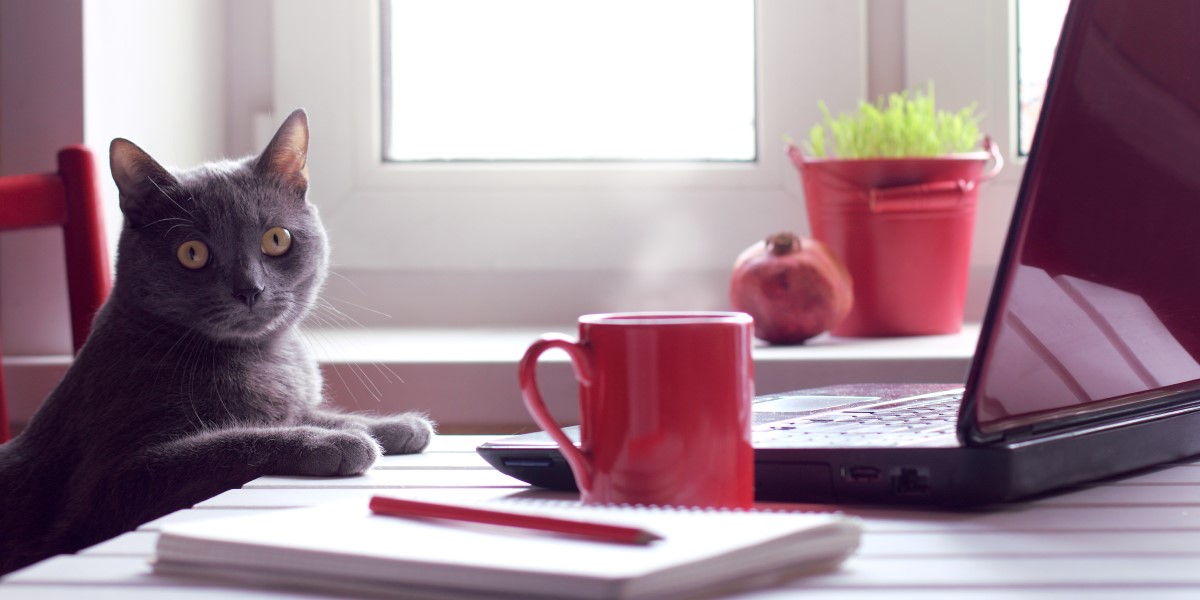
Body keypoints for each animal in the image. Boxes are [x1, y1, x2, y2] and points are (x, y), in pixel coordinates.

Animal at [0, 110, 432, 573]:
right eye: (193, 252)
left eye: (276, 239)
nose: (249, 290)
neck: (262, 354)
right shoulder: (114, 481)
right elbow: (232, 440)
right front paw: (337, 443)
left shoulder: (292, 404)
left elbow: (312, 413)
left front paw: (396, 427)